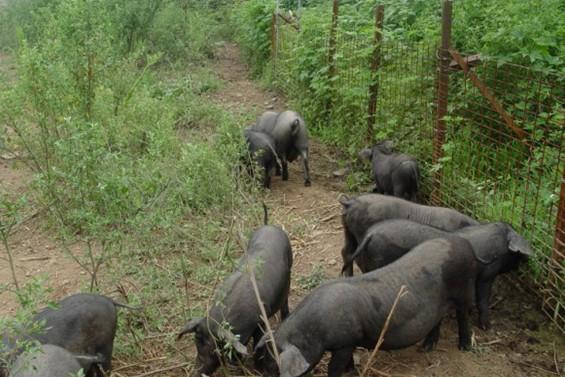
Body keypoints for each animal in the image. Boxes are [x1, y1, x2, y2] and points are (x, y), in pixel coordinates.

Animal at [177, 207, 294, 374]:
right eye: (196, 344)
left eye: (214, 349)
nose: (197, 372)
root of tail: (269, 225)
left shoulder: (261, 320)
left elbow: (257, 342)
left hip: (290, 266)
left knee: (285, 300)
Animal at [258, 235, 478, 376]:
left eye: (273, 367)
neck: (314, 330)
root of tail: (464, 244)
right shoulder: (348, 342)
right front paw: (351, 370)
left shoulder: (346, 341)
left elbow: (333, 368)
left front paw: (344, 371)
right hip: (440, 302)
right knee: (437, 319)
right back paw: (426, 348)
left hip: (463, 289)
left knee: (463, 315)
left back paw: (464, 347)